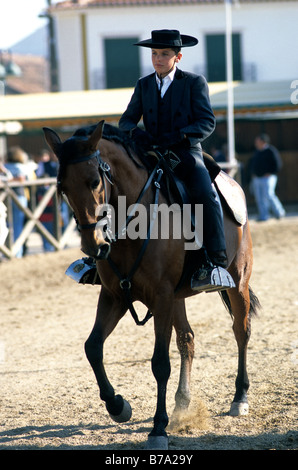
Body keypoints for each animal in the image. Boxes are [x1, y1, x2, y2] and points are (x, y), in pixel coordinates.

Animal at [43, 119, 260, 450]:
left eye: (94, 181)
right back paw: (183, 402)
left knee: (241, 331)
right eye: (62, 187)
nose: (93, 246)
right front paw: (118, 406)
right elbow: (93, 347)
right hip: (179, 297)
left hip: (238, 281)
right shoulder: (115, 296)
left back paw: (240, 397)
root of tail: (231, 182)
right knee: (187, 339)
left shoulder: (161, 297)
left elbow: (159, 363)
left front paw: (158, 428)